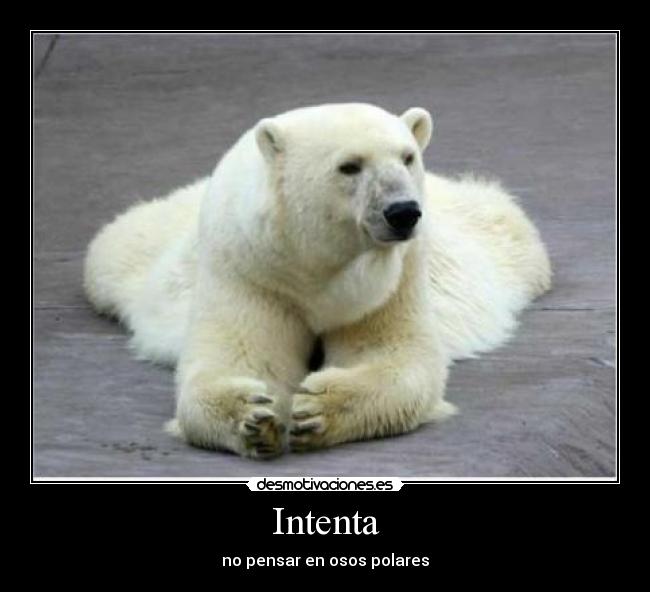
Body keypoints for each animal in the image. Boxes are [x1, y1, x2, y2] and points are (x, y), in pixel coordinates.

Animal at [84, 103, 551, 459]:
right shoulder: (251, 271)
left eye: (407, 157)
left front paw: (316, 409)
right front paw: (253, 417)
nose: (403, 212)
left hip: (493, 234)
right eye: (349, 166)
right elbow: (240, 358)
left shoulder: (391, 281)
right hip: (140, 250)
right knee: (113, 250)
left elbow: (393, 353)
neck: (313, 264)